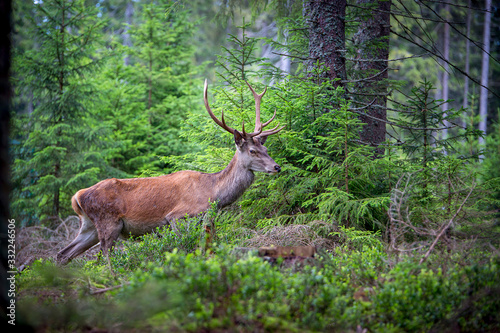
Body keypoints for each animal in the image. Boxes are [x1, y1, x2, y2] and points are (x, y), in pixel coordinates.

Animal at [56, 80, 284, 264]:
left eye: (266, 150)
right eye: (253, 151)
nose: (277, 167)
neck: (214, 194)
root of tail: (77, 196)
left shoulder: (208, 219)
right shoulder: (178, 217)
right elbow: (185, 248)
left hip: (88, 226)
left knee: (63, 254)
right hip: (108, 222)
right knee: (105, 255)